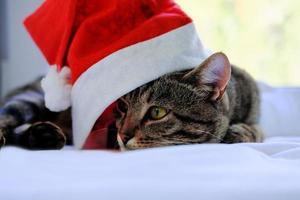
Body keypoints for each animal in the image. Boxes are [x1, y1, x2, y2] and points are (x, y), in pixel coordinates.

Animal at [0, 52, 262, 150]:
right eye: (122, 106)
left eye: (157, 112)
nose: (122, 135)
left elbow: (257, 129)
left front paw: (240, 131)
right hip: (31, 98)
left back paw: (44, 134)